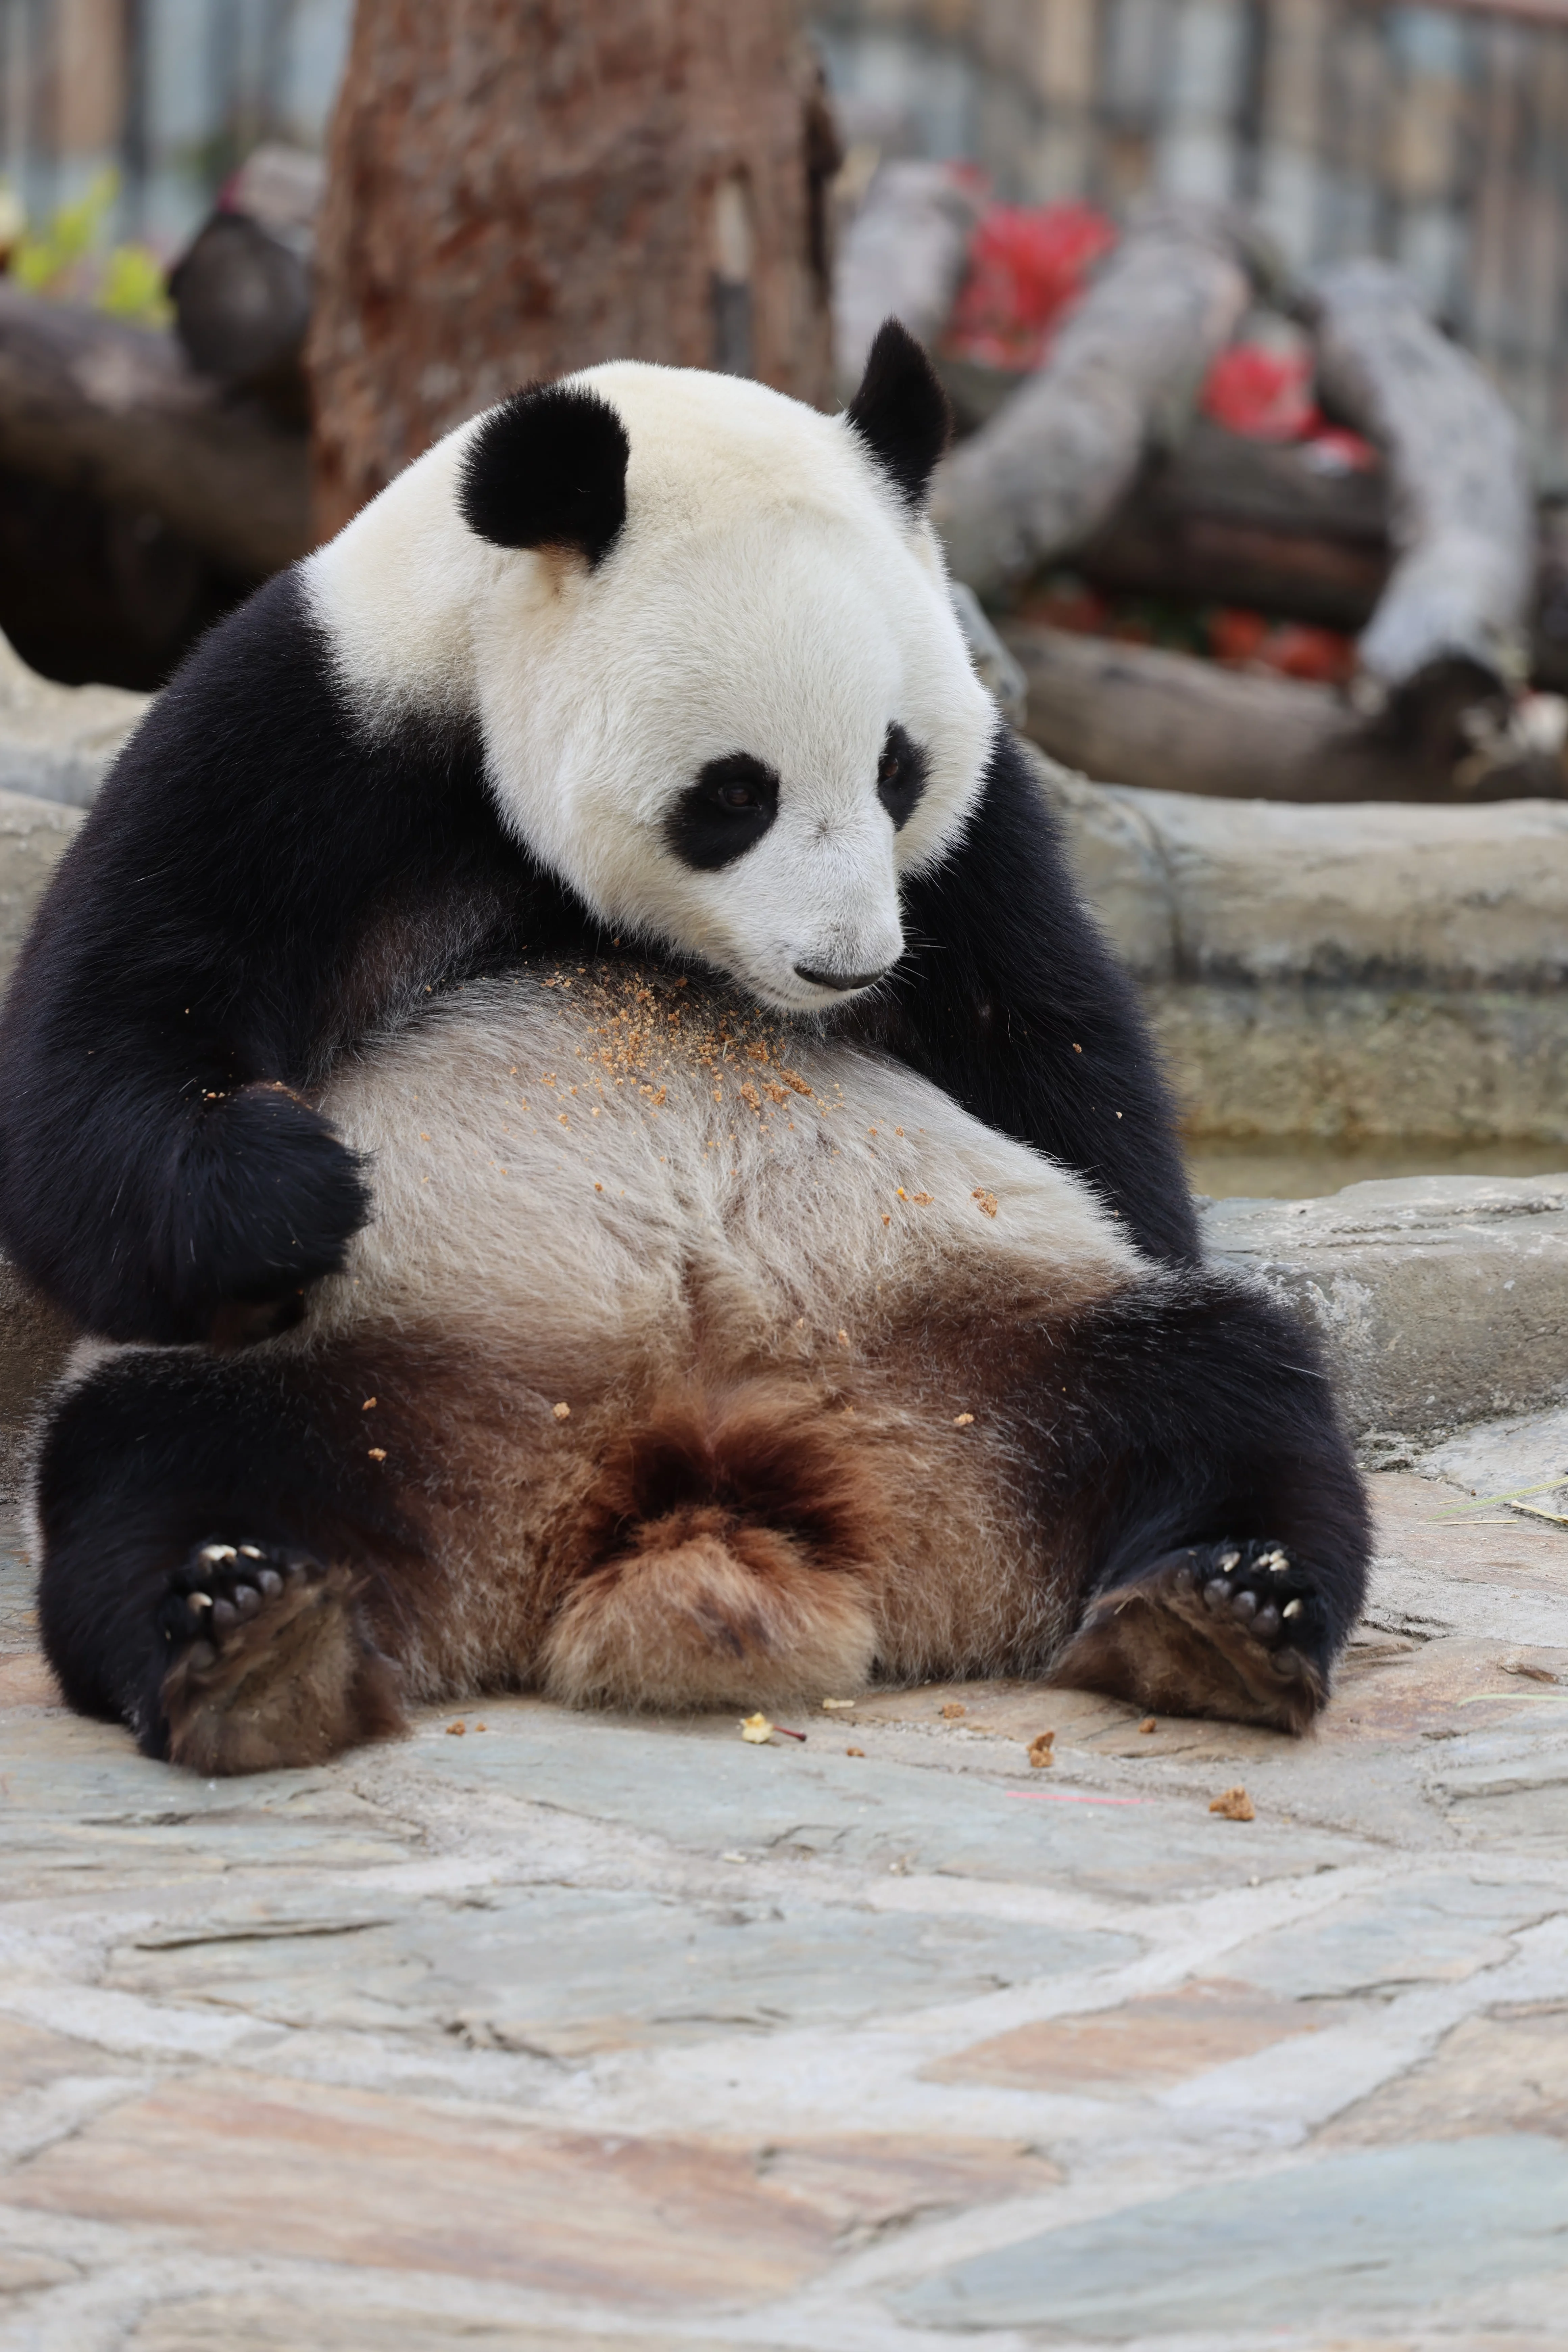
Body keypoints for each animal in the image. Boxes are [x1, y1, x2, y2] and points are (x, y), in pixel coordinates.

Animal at [0, 323, 1369, 1775]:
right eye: (734, 793)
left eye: (896, 770)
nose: (846, 966)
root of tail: (684, 1466)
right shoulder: (308, 734)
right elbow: (102, 1057)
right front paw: (294, 1184)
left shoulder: (978, 837)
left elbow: (1058, 1056)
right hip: (363, 1360)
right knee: (154, 1456)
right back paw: (248, 1635)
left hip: (996, 1331)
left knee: (1228, 1385)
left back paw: (1225, 1609)